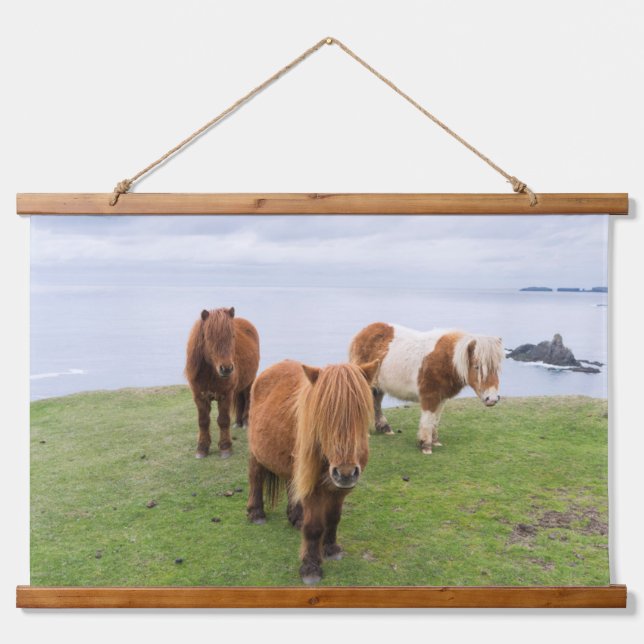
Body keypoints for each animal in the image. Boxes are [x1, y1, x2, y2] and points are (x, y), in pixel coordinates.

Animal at [185, 307, 260, 459]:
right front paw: (202, 448)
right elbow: (203, 421)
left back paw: (245, 422)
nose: (226, 368)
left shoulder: (225, 395)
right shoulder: (199, 397)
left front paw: (225, 448)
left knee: (247, 398)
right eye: (209, 337)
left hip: (249, 381)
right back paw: (238, 422)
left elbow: (223, 420)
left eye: (232, 336)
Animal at [246, 358, 379, 585]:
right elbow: (314, 527)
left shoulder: (340, 490)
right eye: (323, 416)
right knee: (256, 478)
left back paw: (296, 517)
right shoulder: (314, 489)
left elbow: (334, 517)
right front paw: (310, 567)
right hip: (257, 454)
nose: (345, 473)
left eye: (361, 413)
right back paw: (256, 513)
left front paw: (331, 549)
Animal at [349, 322, 504, 454]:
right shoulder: (430, 396)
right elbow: (428, 419)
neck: (447, 360)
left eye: (496, 368)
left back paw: (385, 428)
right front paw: (425, 445)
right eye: (477, 367)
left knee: (376, 403)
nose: (492, 399)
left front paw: (435, 441)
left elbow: (435, 419)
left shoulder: (441, 398)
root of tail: (363, 332)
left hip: (378, 386)